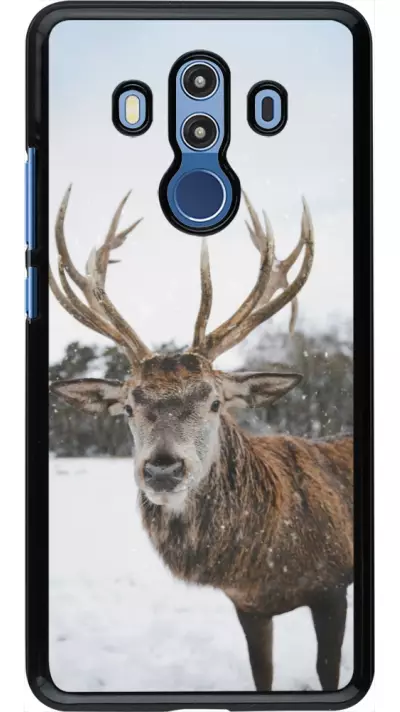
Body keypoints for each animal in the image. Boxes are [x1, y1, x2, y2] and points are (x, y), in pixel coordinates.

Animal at [50, 187, 353, 692]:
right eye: (128, 407)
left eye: (214, 401)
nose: (162, 468)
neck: (266, 562)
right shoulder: (248, 606)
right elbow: (262, 674)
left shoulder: (332, 587)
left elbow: (327, 671)